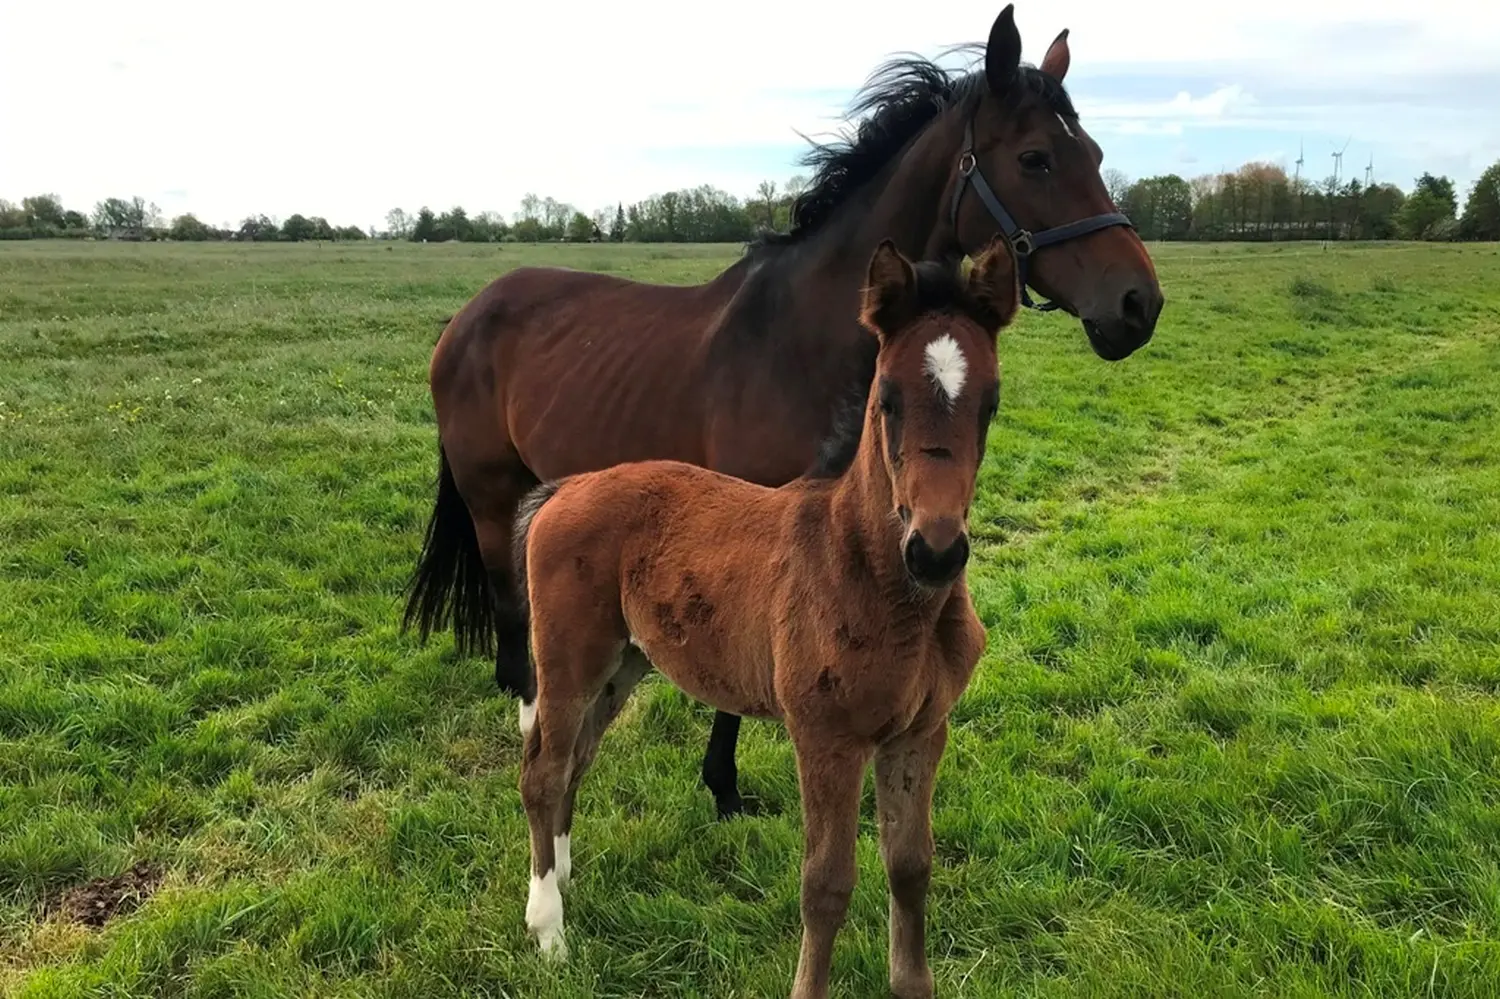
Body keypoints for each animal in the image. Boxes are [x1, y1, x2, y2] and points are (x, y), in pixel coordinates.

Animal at [402, 3, 1164, 821]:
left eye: (1094, 151)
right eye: (1034, 159)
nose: (1138, 304)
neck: (800, 338)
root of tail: (470, 313)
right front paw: (722, 785)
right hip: (490, 493)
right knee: (509, 605)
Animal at [511, 237, 1018, 997]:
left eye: (990, 403)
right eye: (887, 399)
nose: (935, 551)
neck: (873, 576)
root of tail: (565, 489)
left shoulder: (920, 733)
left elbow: (910, 866)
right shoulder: (827, 739)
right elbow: (827, 884)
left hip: (624, 663)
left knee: (576, 760)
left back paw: (564, 882)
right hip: (570, 657)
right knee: (542, 771)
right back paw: (549, 930)